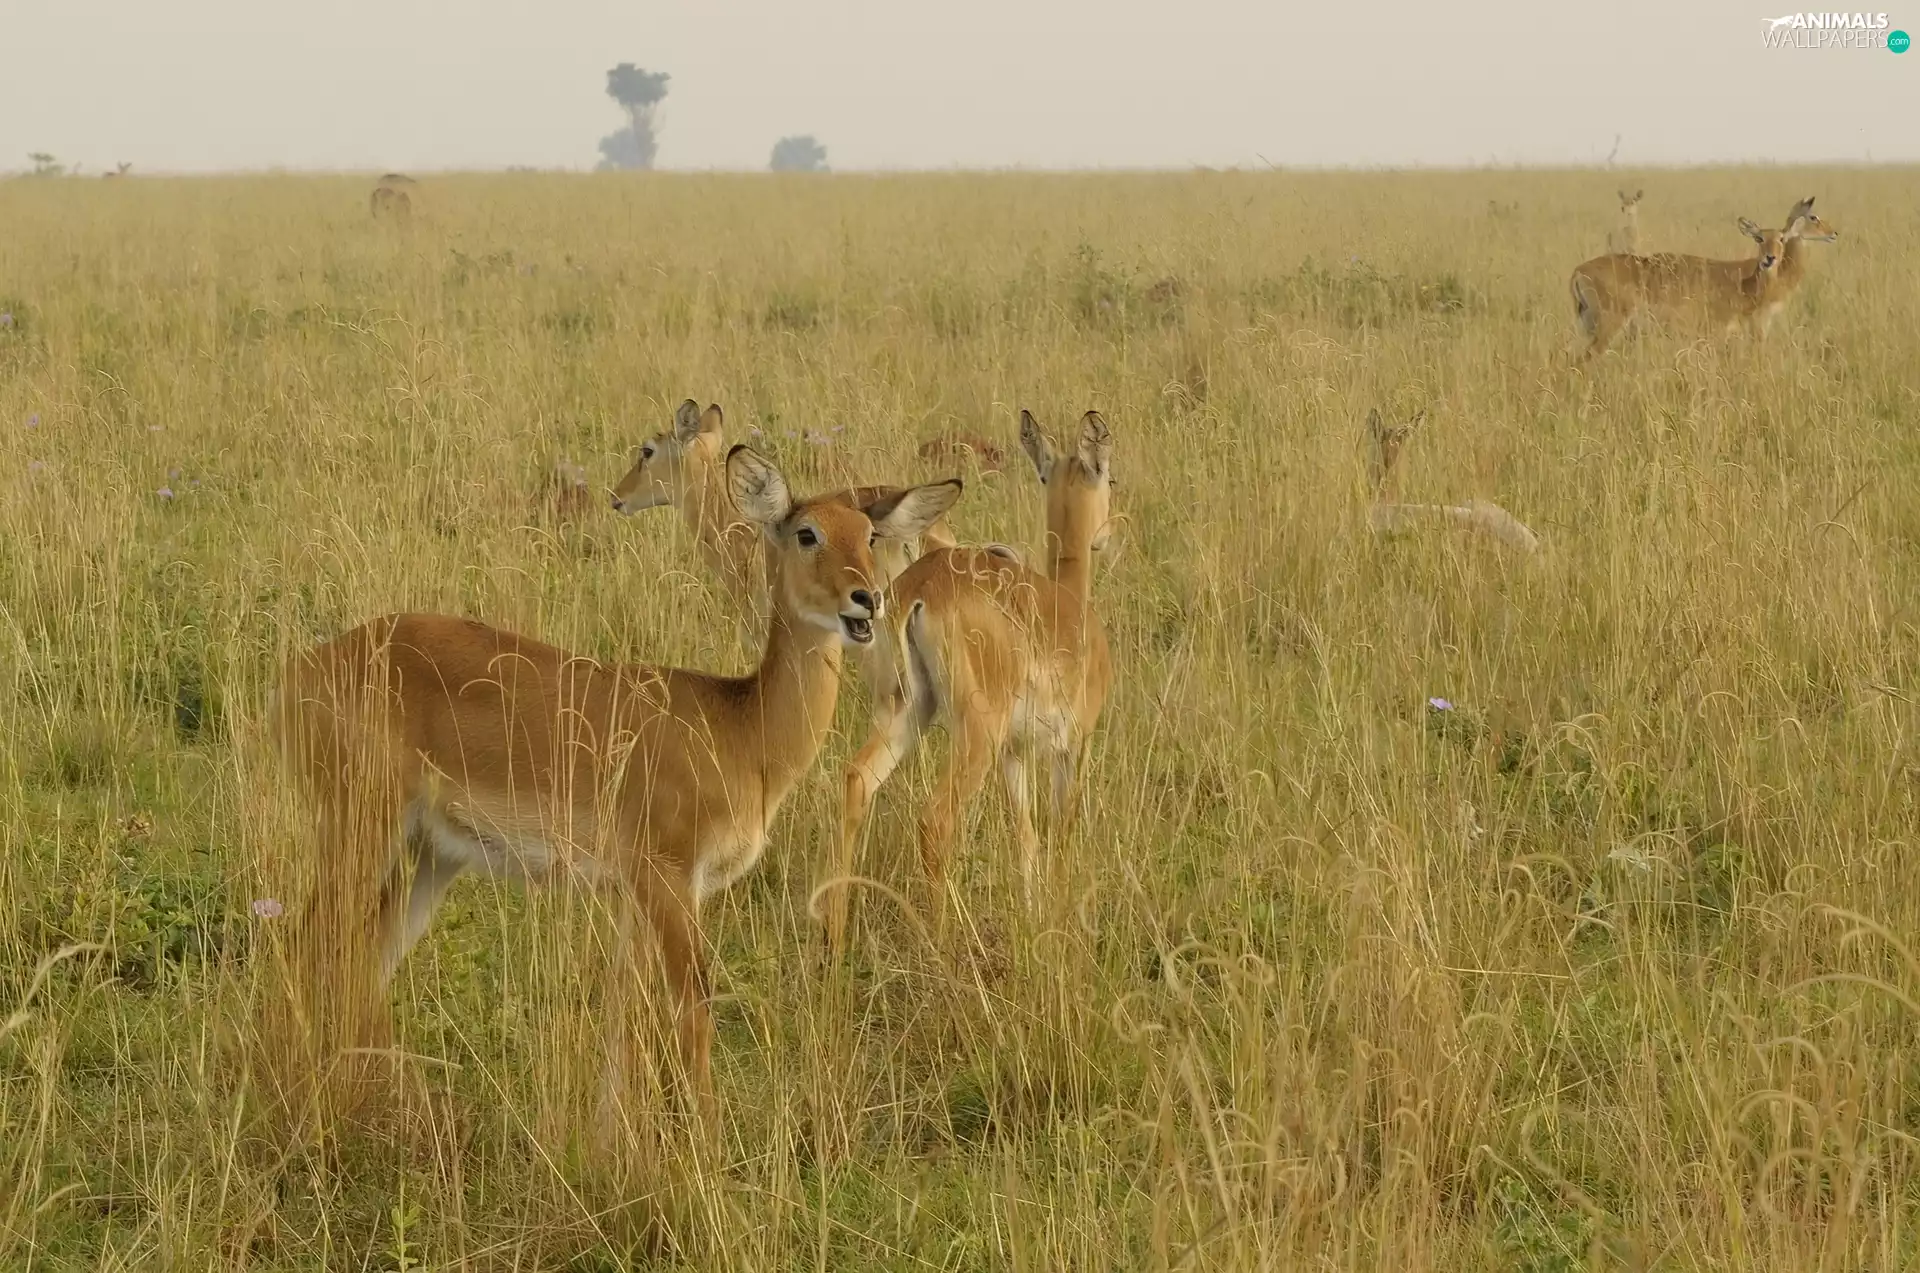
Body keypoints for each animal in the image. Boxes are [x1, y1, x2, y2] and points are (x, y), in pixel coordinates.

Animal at [273, 446, 962, 1118]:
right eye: (806, 532)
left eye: (870, 534)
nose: (866, 599)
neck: (741, 730)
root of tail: (307, 664)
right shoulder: (667, 879)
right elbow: (691, 1006)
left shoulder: (638, 894)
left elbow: (624, 1017)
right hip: (361, 828)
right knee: (305, 943)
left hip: (432, 856)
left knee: (367, 956)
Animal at [829, 410, 1115, 949]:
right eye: (1111, 476)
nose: (1105, 535)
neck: (1070, 605)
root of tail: (920, 591)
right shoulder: (1072, 745)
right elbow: (1060, 831)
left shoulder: (1014, 752)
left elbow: (1025, 834)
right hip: (973, 734)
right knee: (935, 821)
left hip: (907, 711)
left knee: (856, 780)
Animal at [1569, 212, 1801, 361]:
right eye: (1759, 238)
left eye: (1781, 238)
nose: (1770, 258)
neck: (1744, 285)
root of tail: (1578, 271)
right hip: (1608, 327)